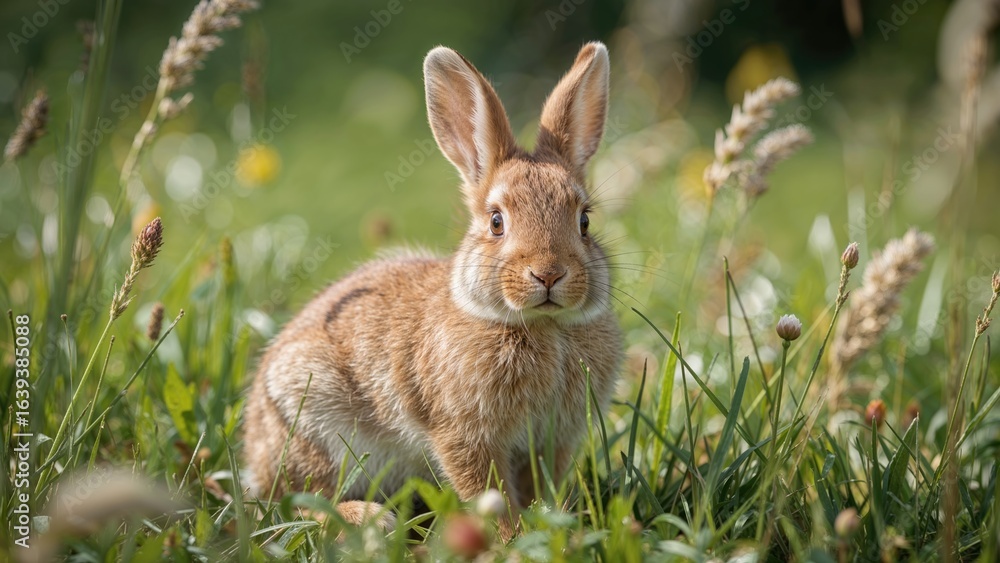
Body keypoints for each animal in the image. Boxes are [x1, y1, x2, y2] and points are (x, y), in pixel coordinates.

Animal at [243, 41, 622, 539]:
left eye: (585, 221)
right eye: (496, 222)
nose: (548, 274)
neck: (545, 326)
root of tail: (254, 450)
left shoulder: (553, 437)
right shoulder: (464, 433)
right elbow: (487, 489)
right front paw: (511, 539)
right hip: (314, 424)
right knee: (287, 503)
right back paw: (367, 518)